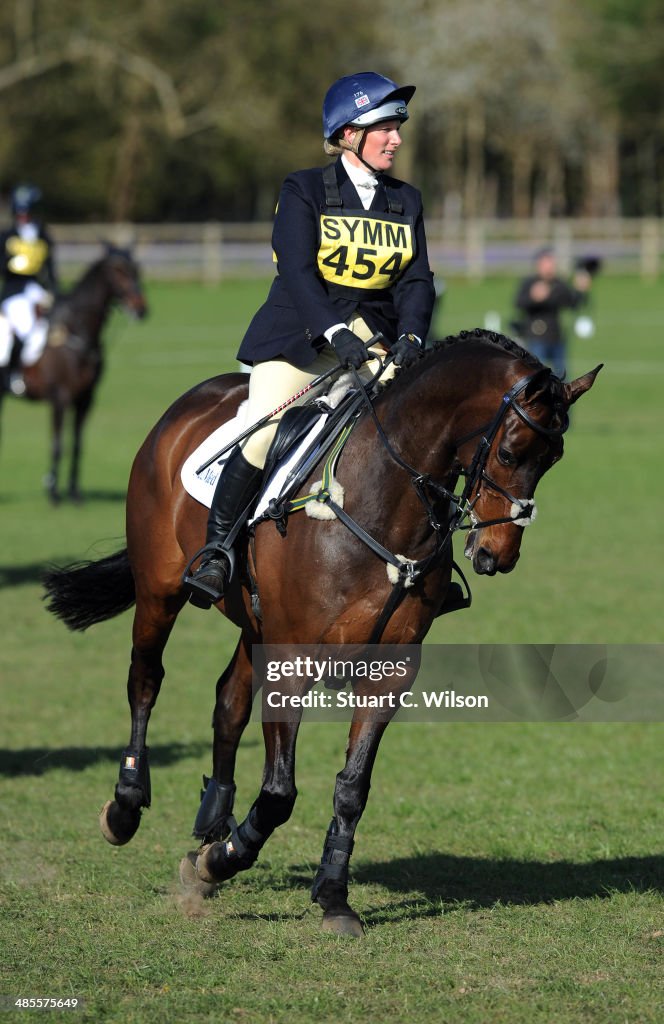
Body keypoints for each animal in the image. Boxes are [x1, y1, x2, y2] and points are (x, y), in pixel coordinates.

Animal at [41, 329, 602, 937]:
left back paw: (213, 821)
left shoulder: (390, 668)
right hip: (160, 590)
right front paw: (222, 862)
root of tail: (189, 403)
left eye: (553, 459)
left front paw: (330, 894)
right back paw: (127, 807)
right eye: (508, 453)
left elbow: (352, 788)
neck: (384, 498)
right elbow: (280, 792)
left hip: (253, 623)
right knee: (145, 679)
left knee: (228, 702)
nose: (496, 555)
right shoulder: (293, 658)